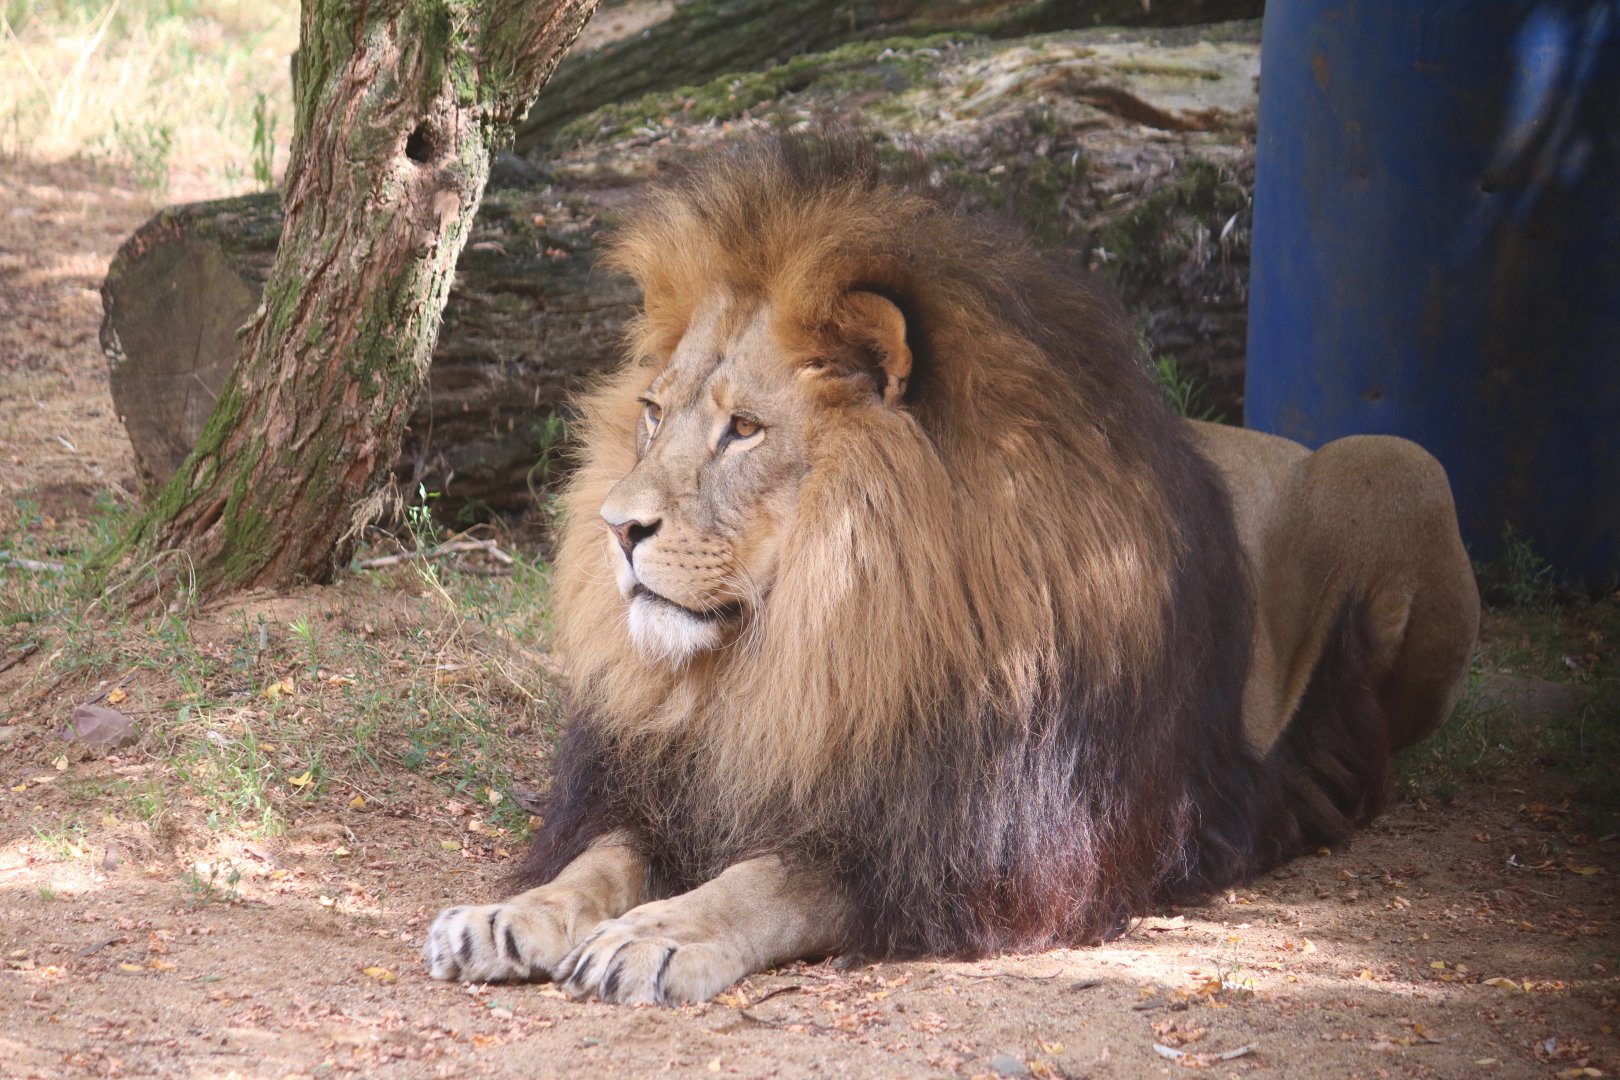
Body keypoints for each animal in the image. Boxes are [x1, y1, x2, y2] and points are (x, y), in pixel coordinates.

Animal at [423, 133, 1479, 1005]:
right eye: (651, 411)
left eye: (745, 430)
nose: (615, 527)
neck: (808, 646)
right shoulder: (671, 780)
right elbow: (601, 857)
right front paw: (509, 916)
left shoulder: (958, 850)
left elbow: (767, 880)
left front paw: (660, 934)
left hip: (1397, 459)